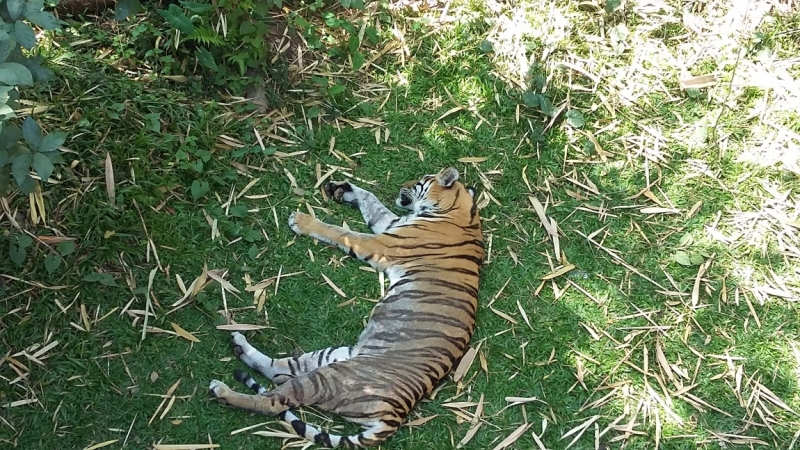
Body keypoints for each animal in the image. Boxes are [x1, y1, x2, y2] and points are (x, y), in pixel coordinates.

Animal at [208, 167, 482, 448]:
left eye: (419, 182)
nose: (402, 186)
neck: (461, 210)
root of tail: (396, 415)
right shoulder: (391, 224)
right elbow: (372, 202)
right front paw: (343, 188)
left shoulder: (380, 243)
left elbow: (341, 232)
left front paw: (302, 220)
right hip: (333, 356)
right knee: (279, 370)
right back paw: (240, 345)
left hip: (330, 377)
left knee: (275, 401)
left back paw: (222, 389)